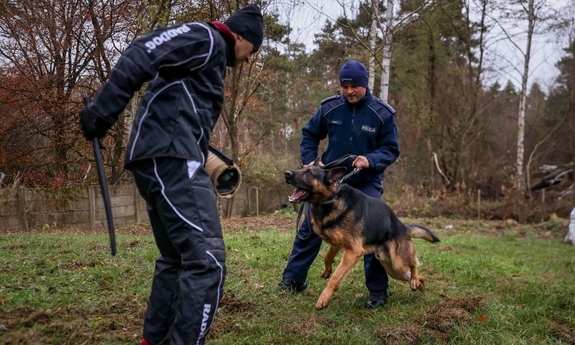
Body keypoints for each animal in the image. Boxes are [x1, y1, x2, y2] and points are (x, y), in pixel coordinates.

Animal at [284, 162, 440, 310]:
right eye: (301, 167)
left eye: (309, 172)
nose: (287, 173)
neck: (332, 198)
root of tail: (404, 228)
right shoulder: (337, 245)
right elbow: (327, 258)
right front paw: (327, 271)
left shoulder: (353, 252)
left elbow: (335, 277)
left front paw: (324, 299)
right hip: (393, 269)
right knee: (421, 278)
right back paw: (419, 286)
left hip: (398, 263)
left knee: (414, 263)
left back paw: (414, 279)